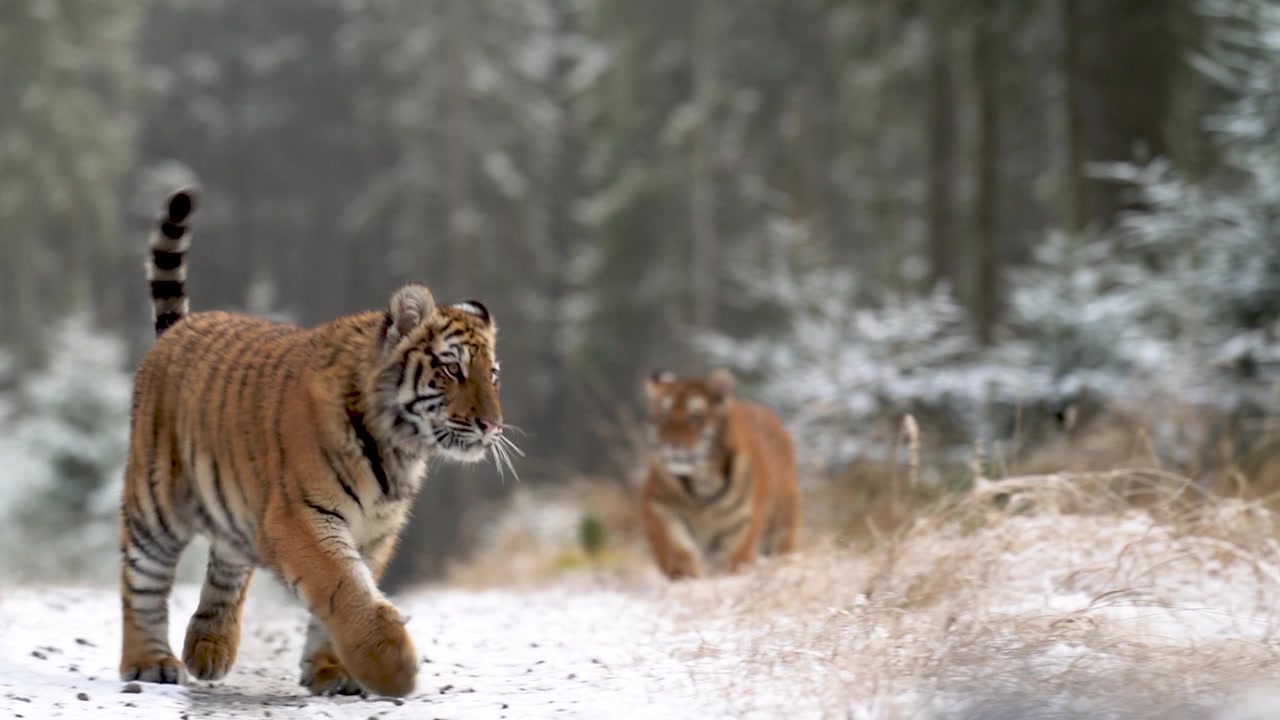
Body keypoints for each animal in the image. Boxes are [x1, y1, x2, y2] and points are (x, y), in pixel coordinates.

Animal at [118, 187, 516, 698]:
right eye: (453, 369)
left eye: (492, 375)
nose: (492, 426)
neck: (399, 449)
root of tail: (176, 331)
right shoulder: (302, 516)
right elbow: (343, 586)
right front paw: (391, 665)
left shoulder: (374, 531)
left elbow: (348, 593)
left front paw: (333, 672)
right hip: (156, 505)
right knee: (141, 581)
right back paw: (149, 663)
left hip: (237, 507)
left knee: (227, 565)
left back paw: (209, 648)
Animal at [641, 368, 800, 579]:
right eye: (663, 416)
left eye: (695, 416)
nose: (672, 444)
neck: (702, 479)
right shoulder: (659, 505)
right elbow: (676, 547)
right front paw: (687, 575)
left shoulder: (743, 522)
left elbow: (735, 560)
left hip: (782, 523)